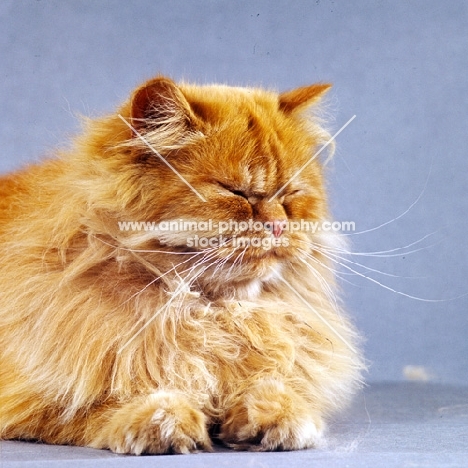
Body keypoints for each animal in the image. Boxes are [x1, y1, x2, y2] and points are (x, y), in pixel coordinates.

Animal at [0, 76, 364, 454]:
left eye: (291, 194)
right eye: (234, 192)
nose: (279, 226)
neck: (208, 311)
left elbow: (275, 388)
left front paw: (273, 417)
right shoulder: (29, 397)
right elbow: (101, 404)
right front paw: (164, 420)